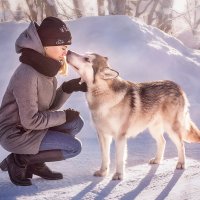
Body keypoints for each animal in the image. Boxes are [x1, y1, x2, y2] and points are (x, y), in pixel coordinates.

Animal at [67, 50, 200, 180]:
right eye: (83, 54)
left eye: (86, 59)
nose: (68, 51)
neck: (102, 97)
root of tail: (177, 86)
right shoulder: (103, 135)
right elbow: (105, 157)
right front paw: (103, 172)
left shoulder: (120, 136)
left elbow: (119, 158)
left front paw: (118, 175)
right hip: (154, 129)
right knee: (163, 142)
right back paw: (157, 160)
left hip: (172, 129)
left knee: (181, 144)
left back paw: (181, 164)